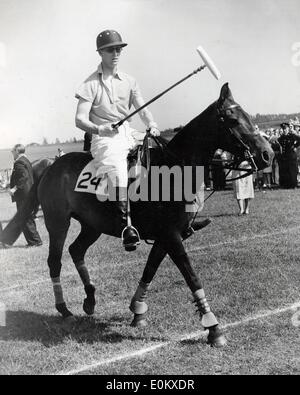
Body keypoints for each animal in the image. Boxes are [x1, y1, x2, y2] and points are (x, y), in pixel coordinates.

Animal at [0, 83, 274, 346]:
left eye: (248, 116)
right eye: (233, 120)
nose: (268, 154)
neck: (174, 171)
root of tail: (49, 166)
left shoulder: (166, 236)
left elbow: (150, 269)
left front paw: (138, 311)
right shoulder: (171, 236)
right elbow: (192, 277)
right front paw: (213, 328)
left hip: (92, 225)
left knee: (76, 250)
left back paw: (90, 299)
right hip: (57, 221)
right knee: (54, 260)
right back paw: (64, 309)